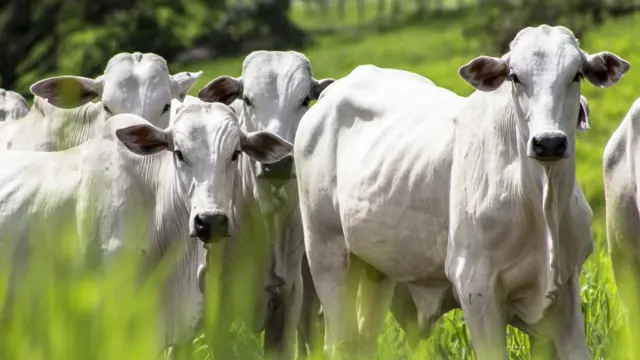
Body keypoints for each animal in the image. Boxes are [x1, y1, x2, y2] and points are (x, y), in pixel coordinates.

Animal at [298, 23, 628, 358]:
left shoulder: (566, 288)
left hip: (376, 268)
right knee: (340, 339)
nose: (548, 142)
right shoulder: (476, 289)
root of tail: (331, 92)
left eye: (577, 74)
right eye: (514, 76)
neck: (539, 203)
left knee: (363, 339)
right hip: (326, 252)